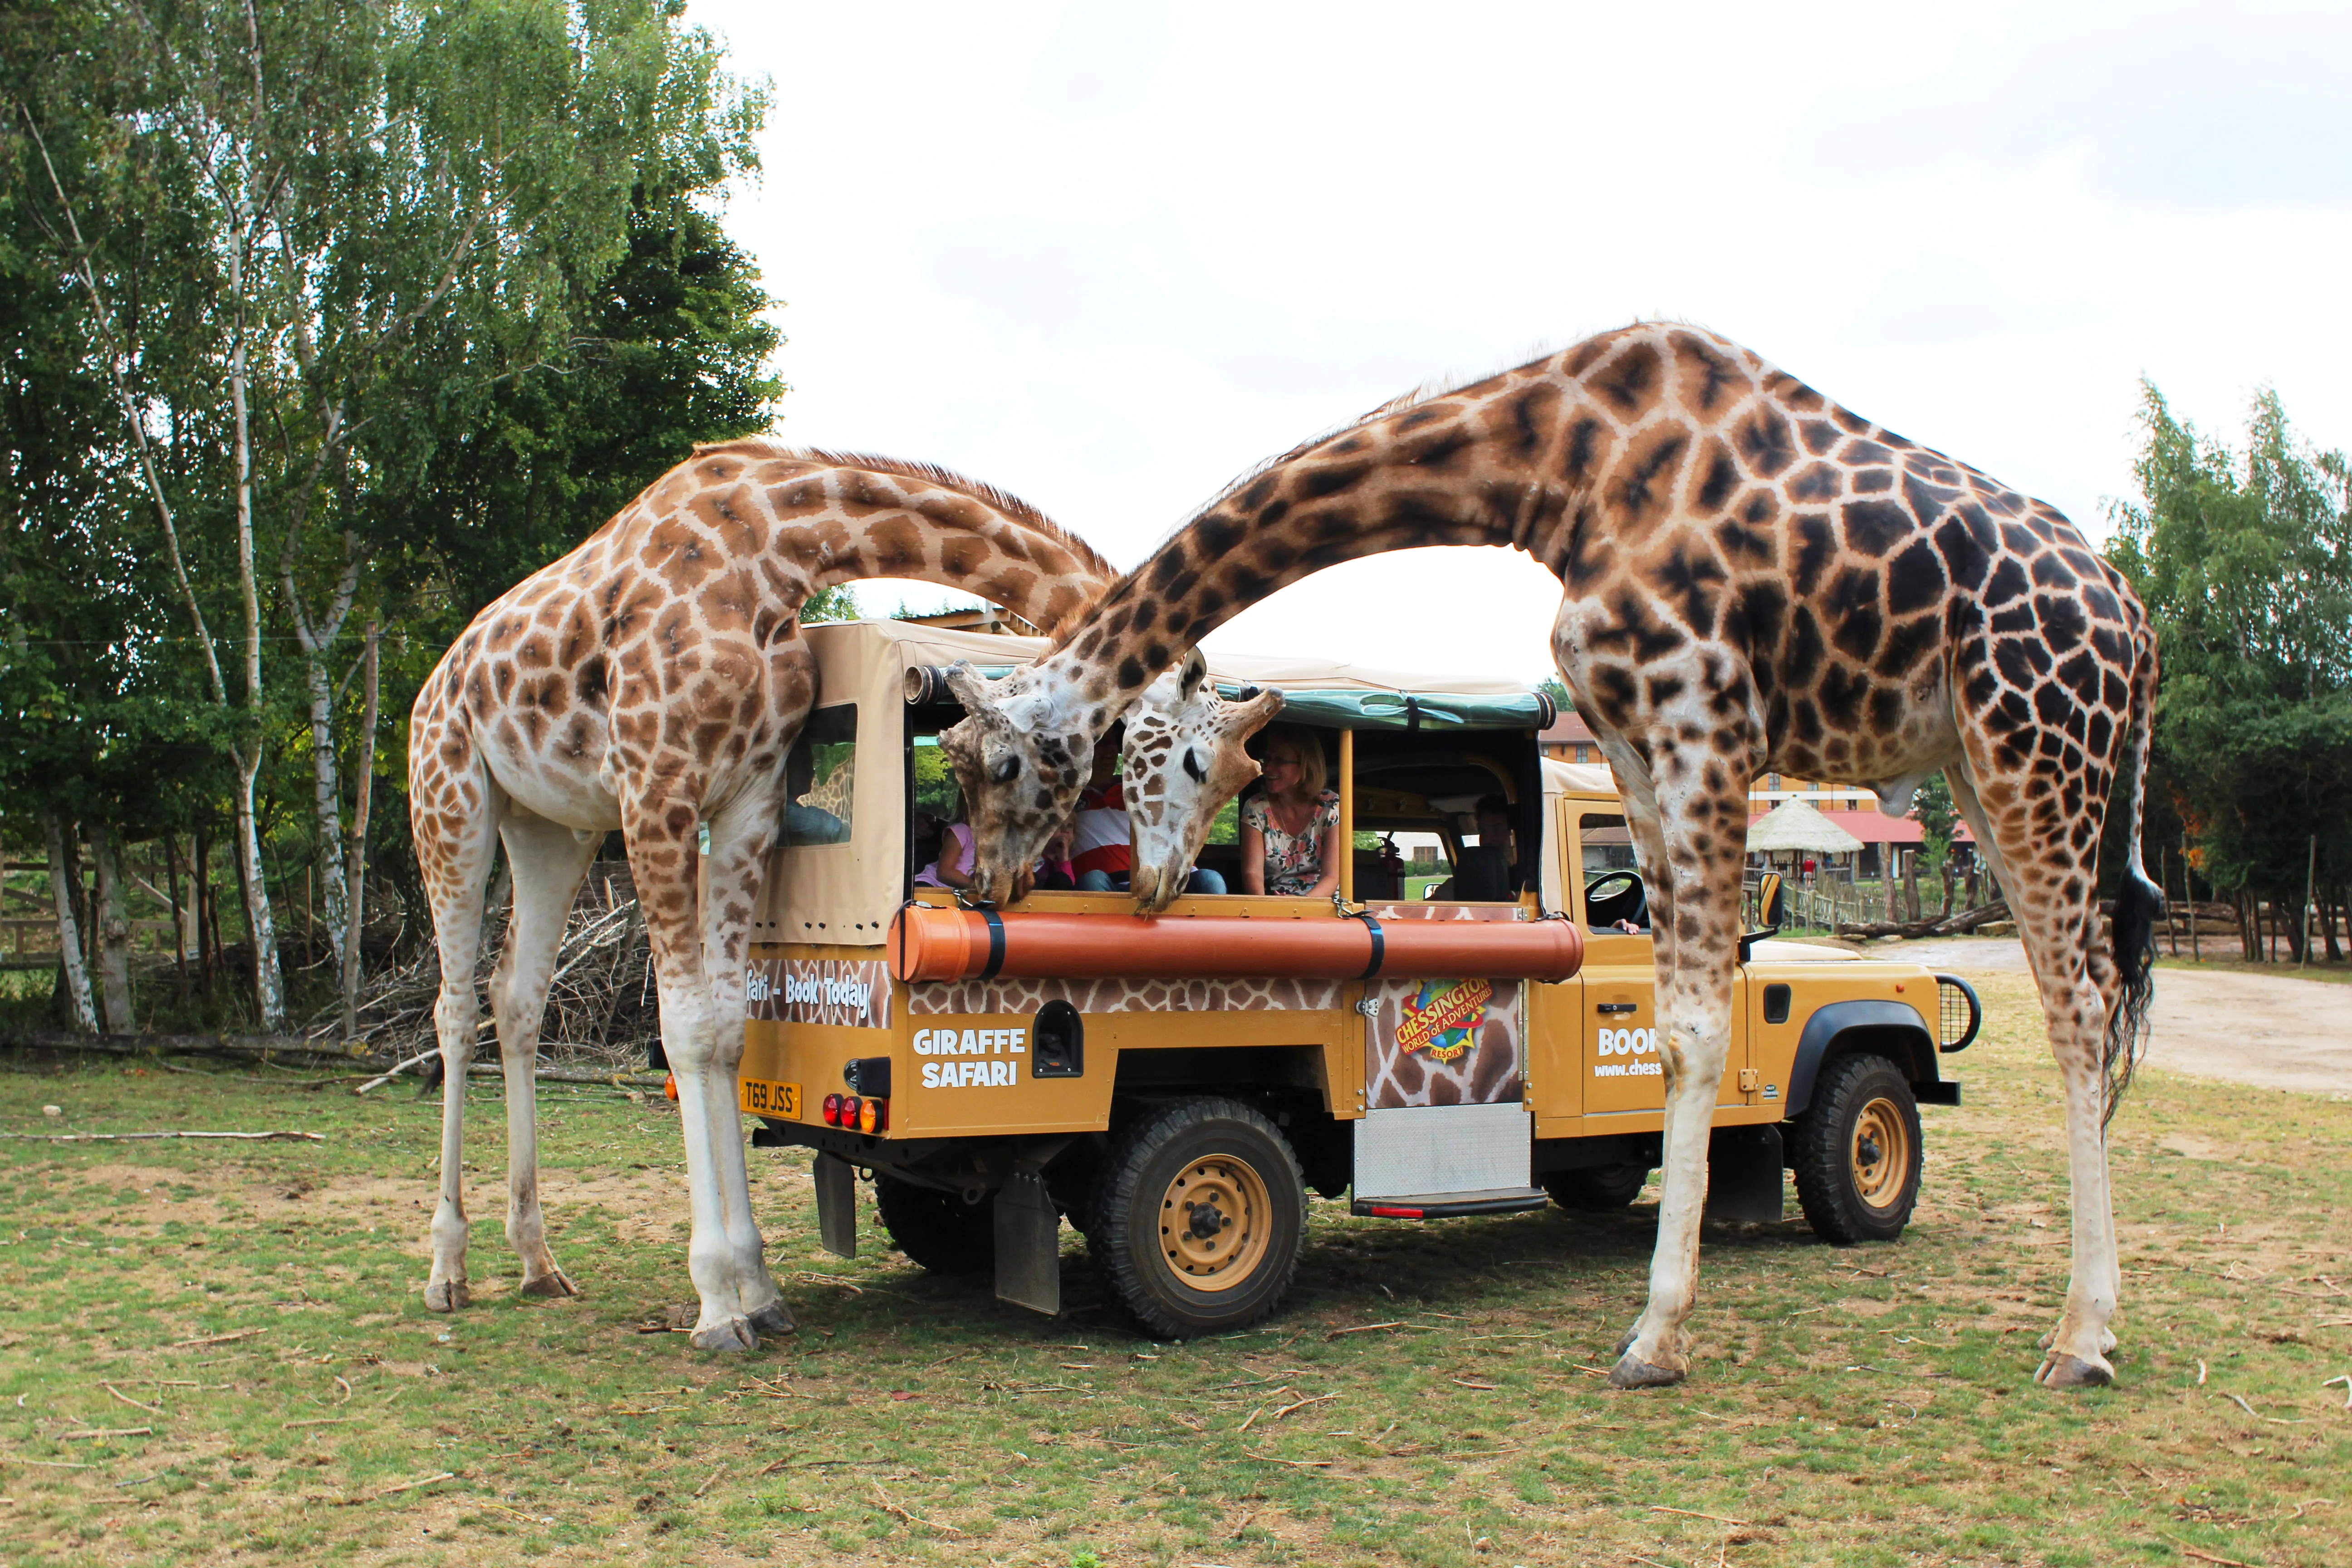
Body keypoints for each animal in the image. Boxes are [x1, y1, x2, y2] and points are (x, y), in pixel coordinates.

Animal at [406, 443, 1119, 1351]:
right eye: (1030, 762)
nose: (1001, 883)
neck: (775, 552)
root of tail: (435, 681)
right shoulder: (657, 791)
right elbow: (680, 1030)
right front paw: (715, 1305)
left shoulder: (746, 798)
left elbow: (723, 1034)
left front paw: (757, 1286)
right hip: (451, 796)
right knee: (455, 1008)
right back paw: (446, 1270)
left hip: (550, 827)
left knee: (517, 995)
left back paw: (536, 1261)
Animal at [937, 324, 2164, 1389]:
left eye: (1002, 764)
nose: (988, 881)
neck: (1561, 467)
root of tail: (2136, 619)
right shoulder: (1626, 736)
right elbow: (1671, 1025)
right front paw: (1657, 1330)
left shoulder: (1704, 715)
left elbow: (1706, 1026)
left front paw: (1656, 1335)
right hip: (1977, 760)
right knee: (2086, 987)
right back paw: (2089, 1324)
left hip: (2037, 740)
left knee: (2079, 1001)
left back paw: (2080, 1337)